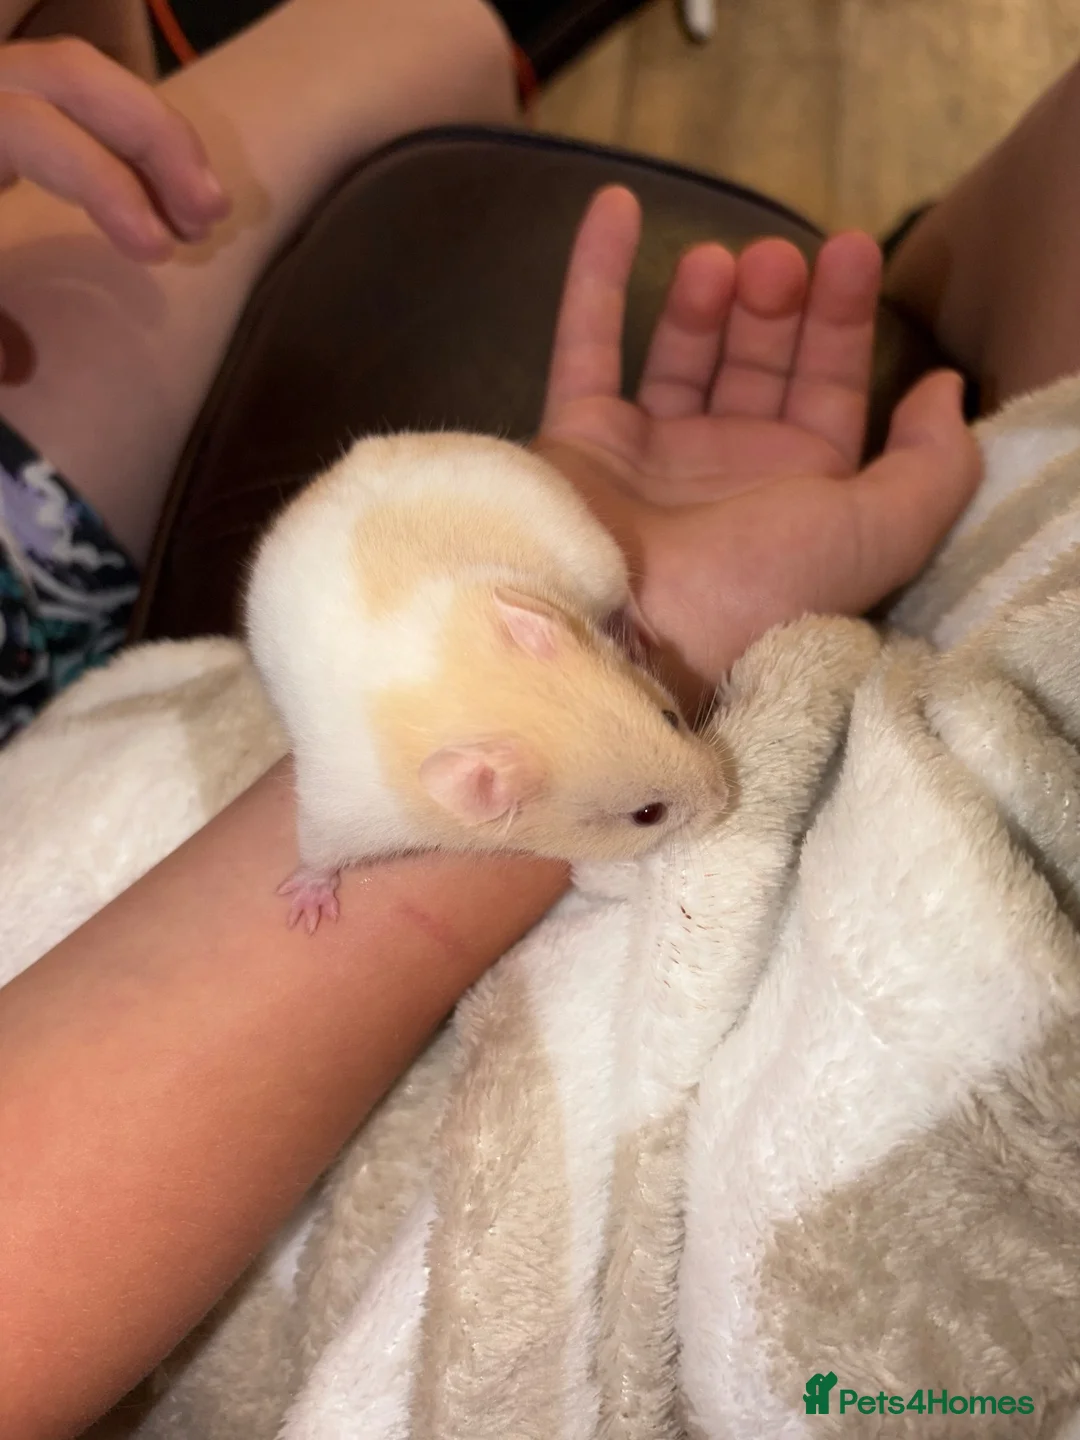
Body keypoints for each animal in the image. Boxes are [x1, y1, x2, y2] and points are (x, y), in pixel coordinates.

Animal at [245, 432, 729, 931]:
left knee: (626, 594)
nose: (727, 796)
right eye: (648, 815)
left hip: (597, 558)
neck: (467, 689)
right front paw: (305, 913)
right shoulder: (341, 807)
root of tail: (354, 456)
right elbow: (317, 852)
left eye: (672, 718)